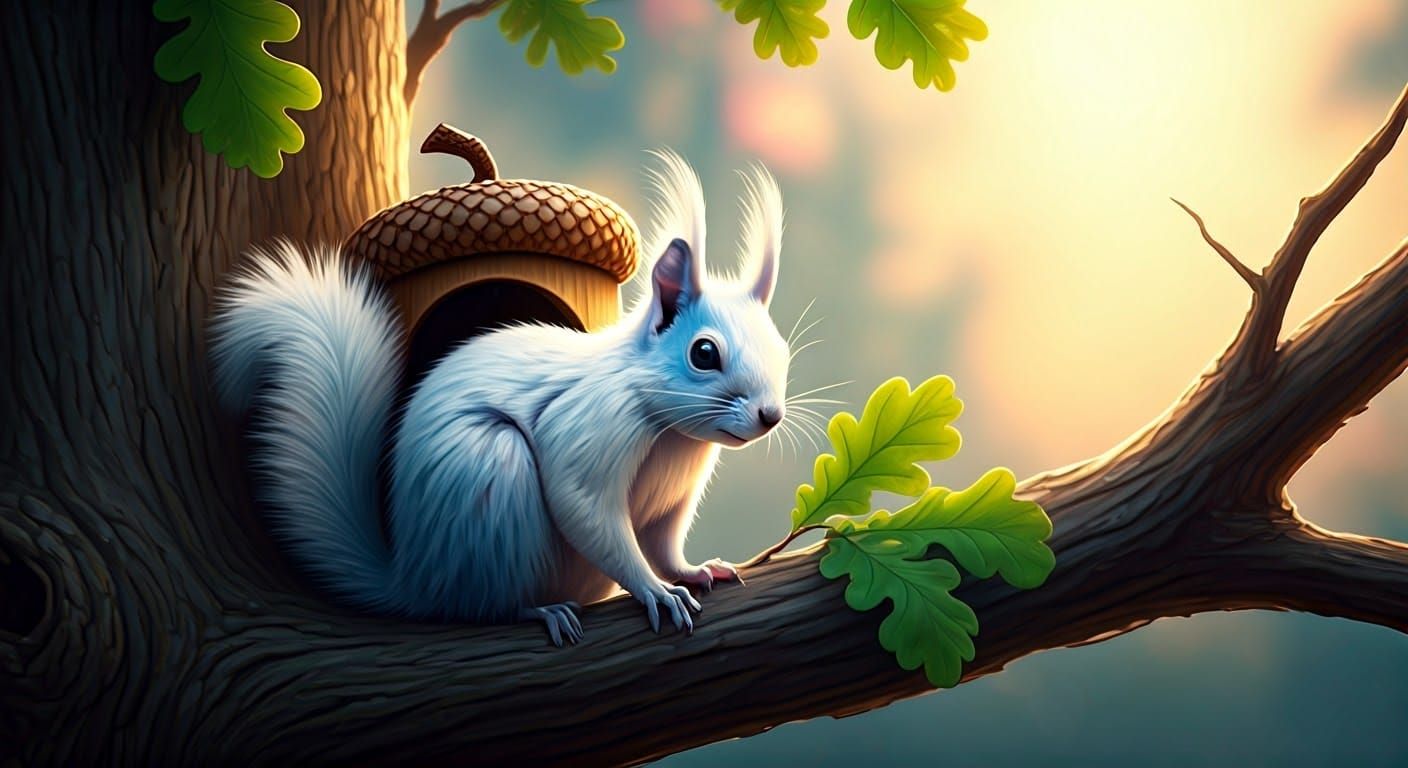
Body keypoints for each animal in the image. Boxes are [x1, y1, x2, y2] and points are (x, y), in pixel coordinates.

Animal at [210, 153, 790, 645]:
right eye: (704, 353)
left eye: (782, 348)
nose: (770, 416)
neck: (670, 433)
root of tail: (414, 579)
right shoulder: (587, 427)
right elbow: (588, 512)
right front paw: (654, 591)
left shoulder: (673, 499)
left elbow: (665, 543)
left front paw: (693, 570)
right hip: (491, 478)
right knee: (483, 607)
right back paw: (538, 610)